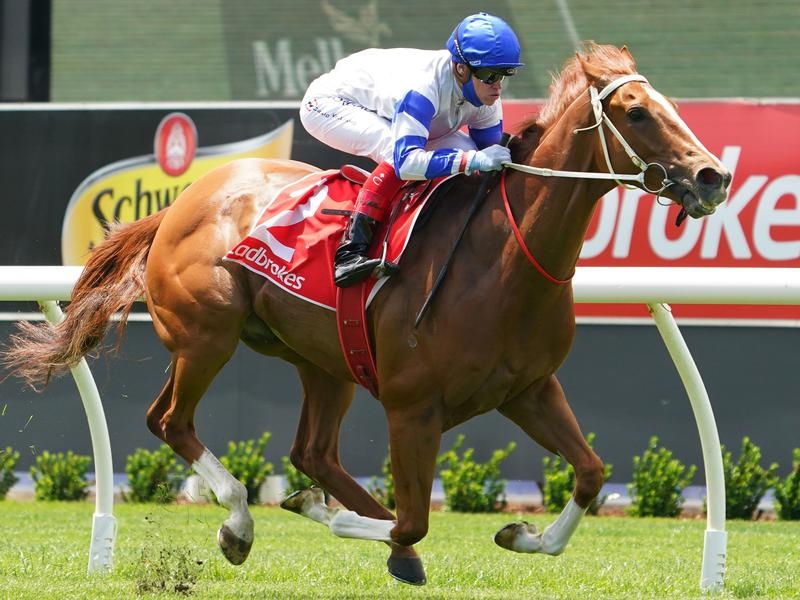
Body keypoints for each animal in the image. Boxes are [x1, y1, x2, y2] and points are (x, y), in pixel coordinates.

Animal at [3, 44, 730, 586]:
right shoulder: (413, 407)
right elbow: (414, 516)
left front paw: (521, 533)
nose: (713, 176)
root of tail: (182, 201)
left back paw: (359, 532)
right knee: (171, 421)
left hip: (326, 360)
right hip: (206, 335)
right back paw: (242, 521)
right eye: (636, 112)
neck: (504, 259)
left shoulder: (528, 388)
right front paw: (335, 521)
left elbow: (590, 473)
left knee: (313, 452)